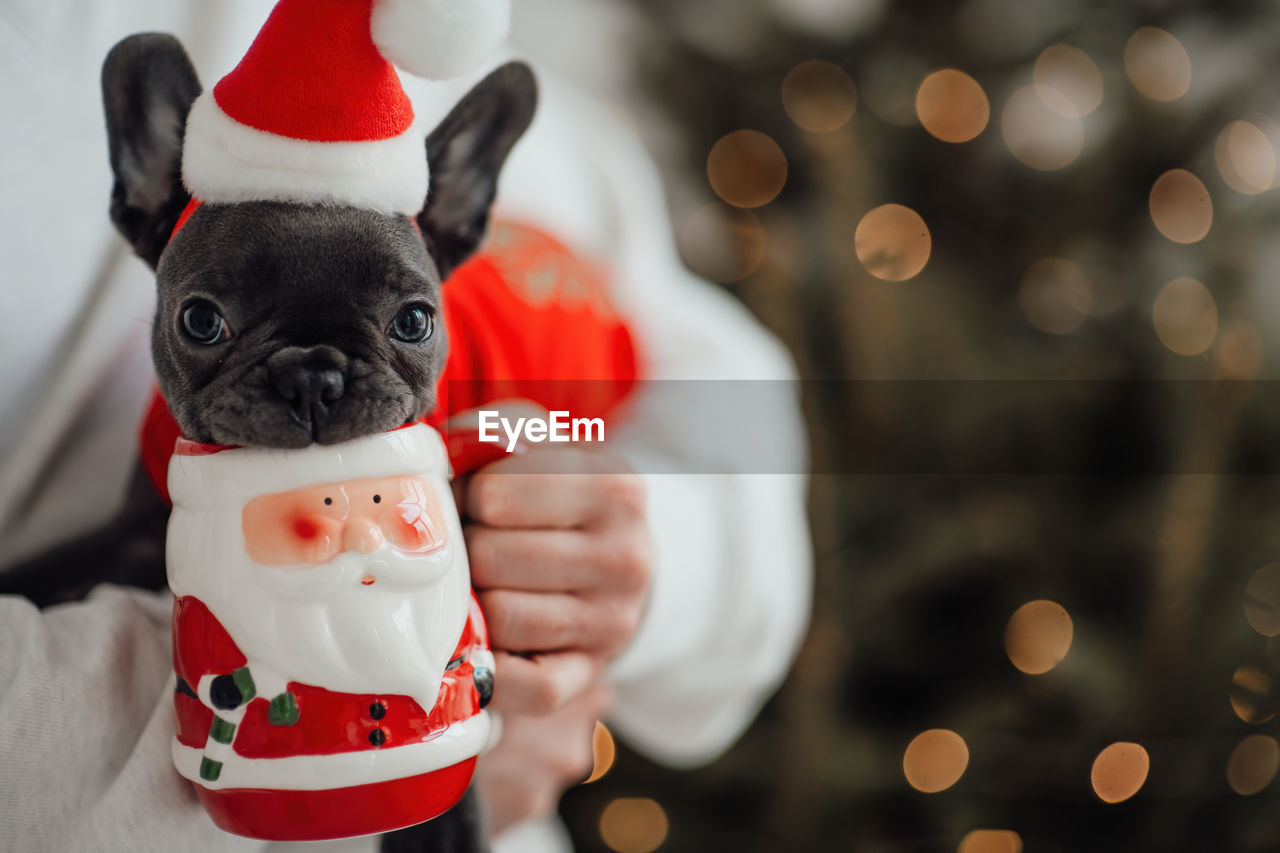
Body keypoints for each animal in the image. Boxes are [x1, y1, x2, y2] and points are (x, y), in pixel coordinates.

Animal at [2, 33, 532, 850]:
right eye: (199, 319)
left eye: (414, 320)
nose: (313, 374)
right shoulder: (131, 534)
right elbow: (58, 566)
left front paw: (441, 823)